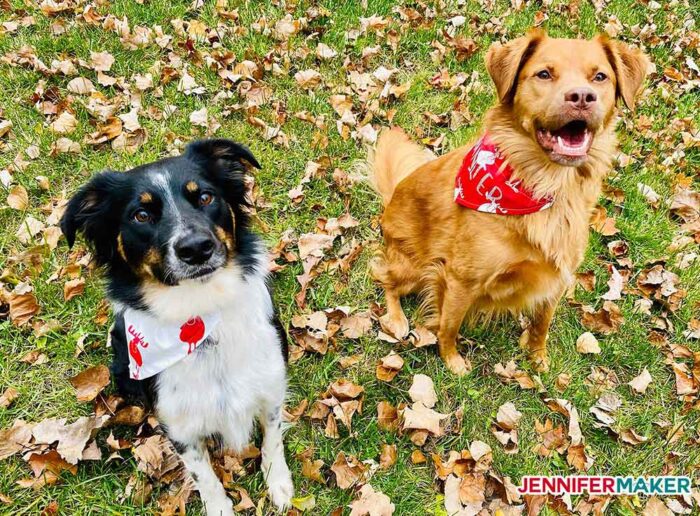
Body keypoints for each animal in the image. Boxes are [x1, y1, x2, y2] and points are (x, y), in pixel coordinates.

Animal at [61, 139, 294, 512]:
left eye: (205, 197)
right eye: (141, 215)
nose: (197, 248)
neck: (201, 313)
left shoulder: (271, 385)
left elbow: (273, 437)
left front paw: (279, 483)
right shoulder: (179, 425)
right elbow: (204, 475)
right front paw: (219, 508)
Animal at [370, 29, 648, 374]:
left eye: (600, 77)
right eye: (544, 74)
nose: (582, 97)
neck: (545, 186)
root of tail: (392, 197)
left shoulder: (556, 276)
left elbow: (542, 324)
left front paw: (538, 359)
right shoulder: (461, 278)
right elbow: (449, 326)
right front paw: (453, 361)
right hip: (413, 266)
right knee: (385, 278)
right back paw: (396, 318)